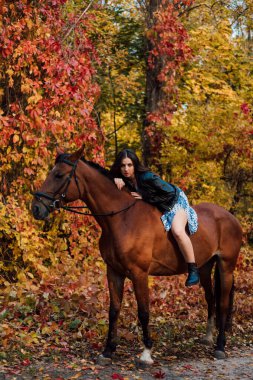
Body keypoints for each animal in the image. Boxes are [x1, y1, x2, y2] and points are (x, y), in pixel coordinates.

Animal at [32, 145, 243, 362]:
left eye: (59, 175)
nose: (36, 208)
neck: (122, 218)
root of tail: (230, 217)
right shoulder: (114, 271)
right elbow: (114, 310)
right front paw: (108, 350)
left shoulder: (139, 273)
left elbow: (143, 311)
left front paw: (146, 352)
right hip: (205, 267)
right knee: (211, 299)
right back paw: (208, 338)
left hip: (226, 266)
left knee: (223, 303)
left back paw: (220, 346)